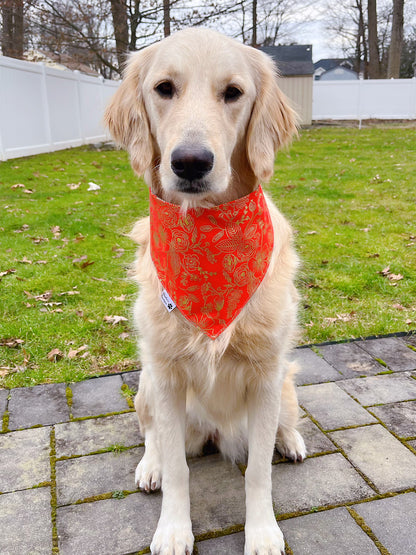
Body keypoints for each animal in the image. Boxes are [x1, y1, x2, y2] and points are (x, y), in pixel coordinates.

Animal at [104, 28, 306, 555]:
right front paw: (174, 529)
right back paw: (150, 466)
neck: (207, 234)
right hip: (147, 384)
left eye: (233, 92)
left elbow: (258, 472)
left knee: (284, 424)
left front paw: (262, 533)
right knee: (153, 436)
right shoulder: (167, 375)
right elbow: (177, 468)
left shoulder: (266, 374)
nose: (191, 162)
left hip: (286, 384)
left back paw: (291, 440)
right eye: (164, 88)